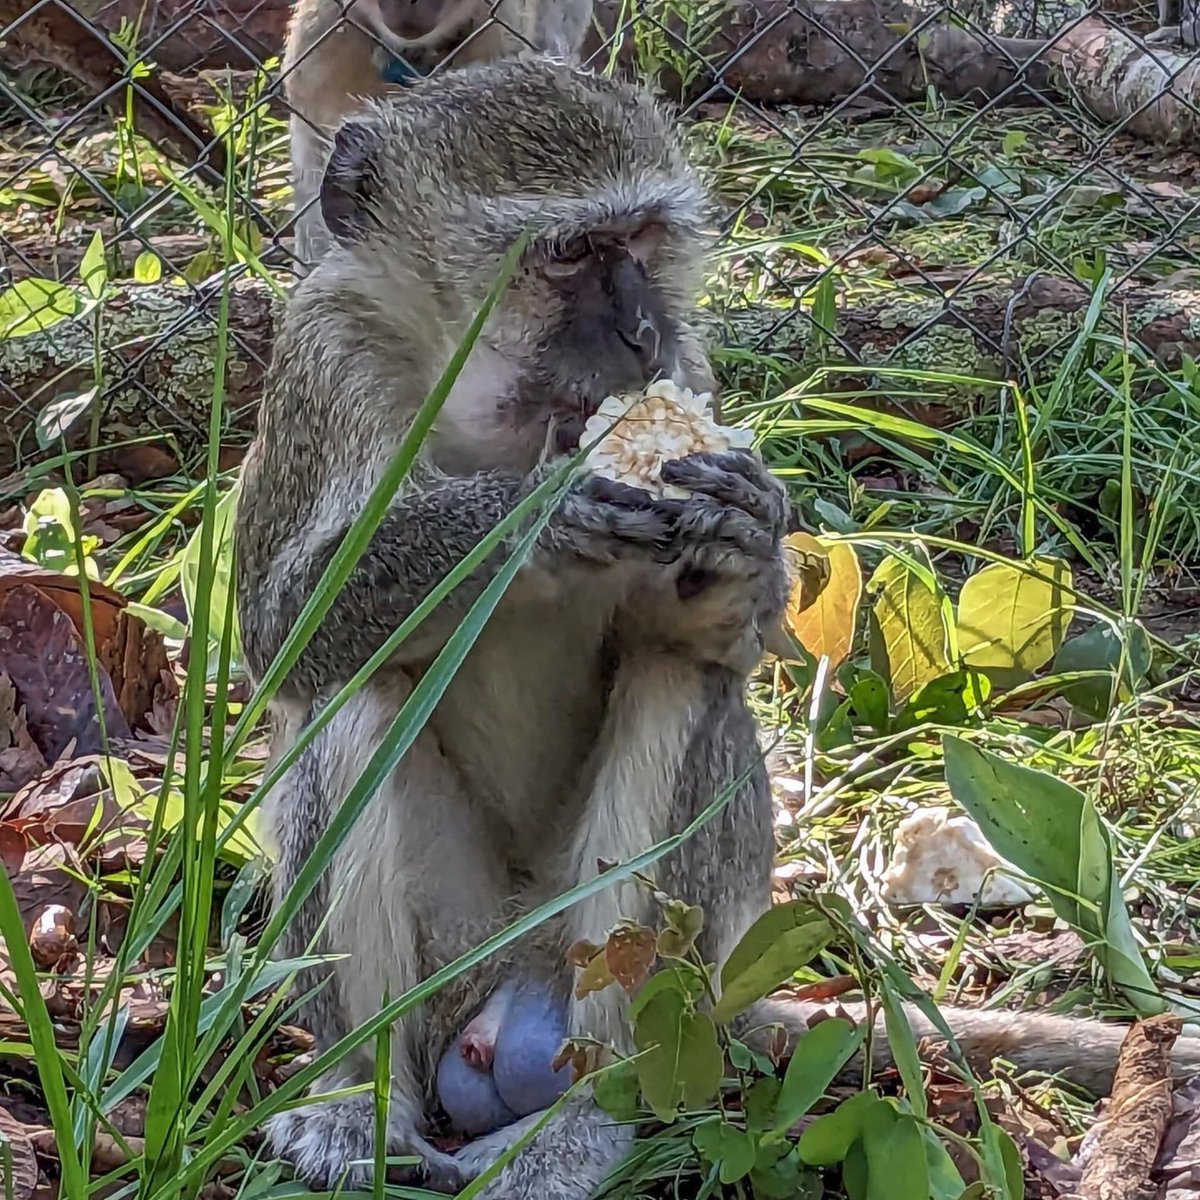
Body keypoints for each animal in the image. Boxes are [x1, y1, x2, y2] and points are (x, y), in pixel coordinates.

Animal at [236, 58, 1200, 1200]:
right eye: (568, 254)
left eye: (643, 239)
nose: (641, 334)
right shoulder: (325, 357)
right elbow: (281, 638)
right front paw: (531, 517)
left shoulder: (692, 373)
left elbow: (708, 645)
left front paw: (746, 528)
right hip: (456, 955)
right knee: (356, 698)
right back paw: (362, 1099)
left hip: (646, 969)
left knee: (674, 686)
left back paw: (583, 1118)